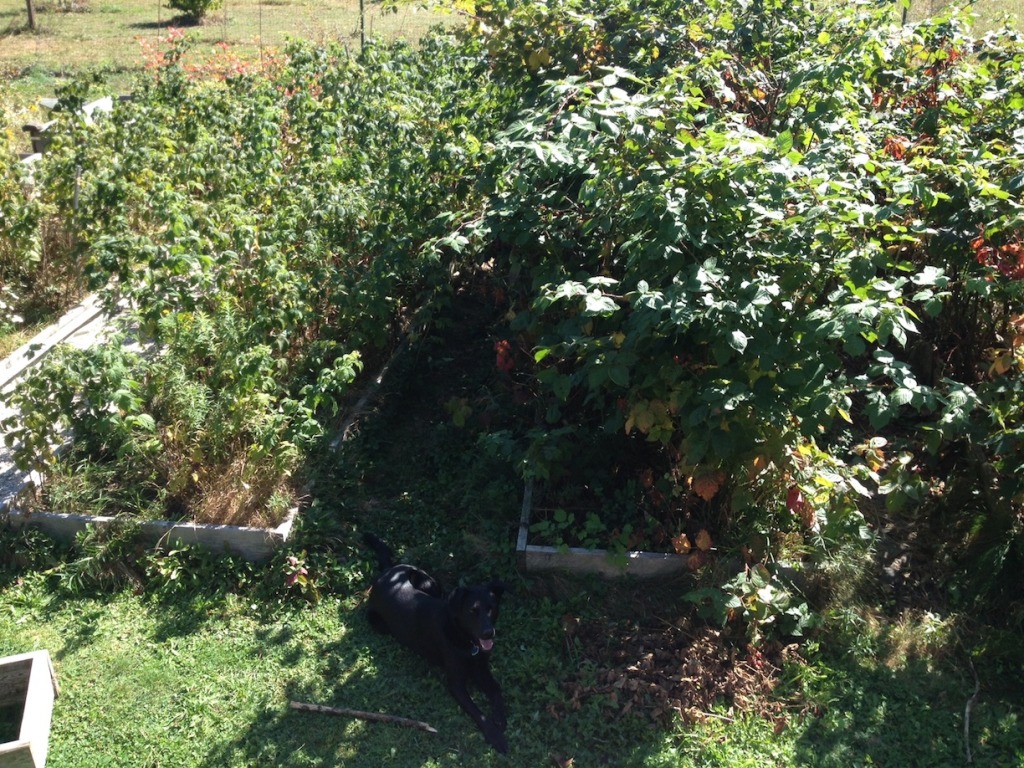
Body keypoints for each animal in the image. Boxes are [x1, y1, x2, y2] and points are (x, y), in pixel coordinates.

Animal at [364, 536, 507, 753]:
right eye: (472, 610)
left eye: (492, 608)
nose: (488, 633)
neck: (464, 638)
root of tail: (388, 571)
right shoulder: (456, 684)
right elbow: (478, 712)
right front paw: (495, 736)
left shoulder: (482, 669)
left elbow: (496, 689)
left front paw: (500, 715)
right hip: (379, 623)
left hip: (427, 581)